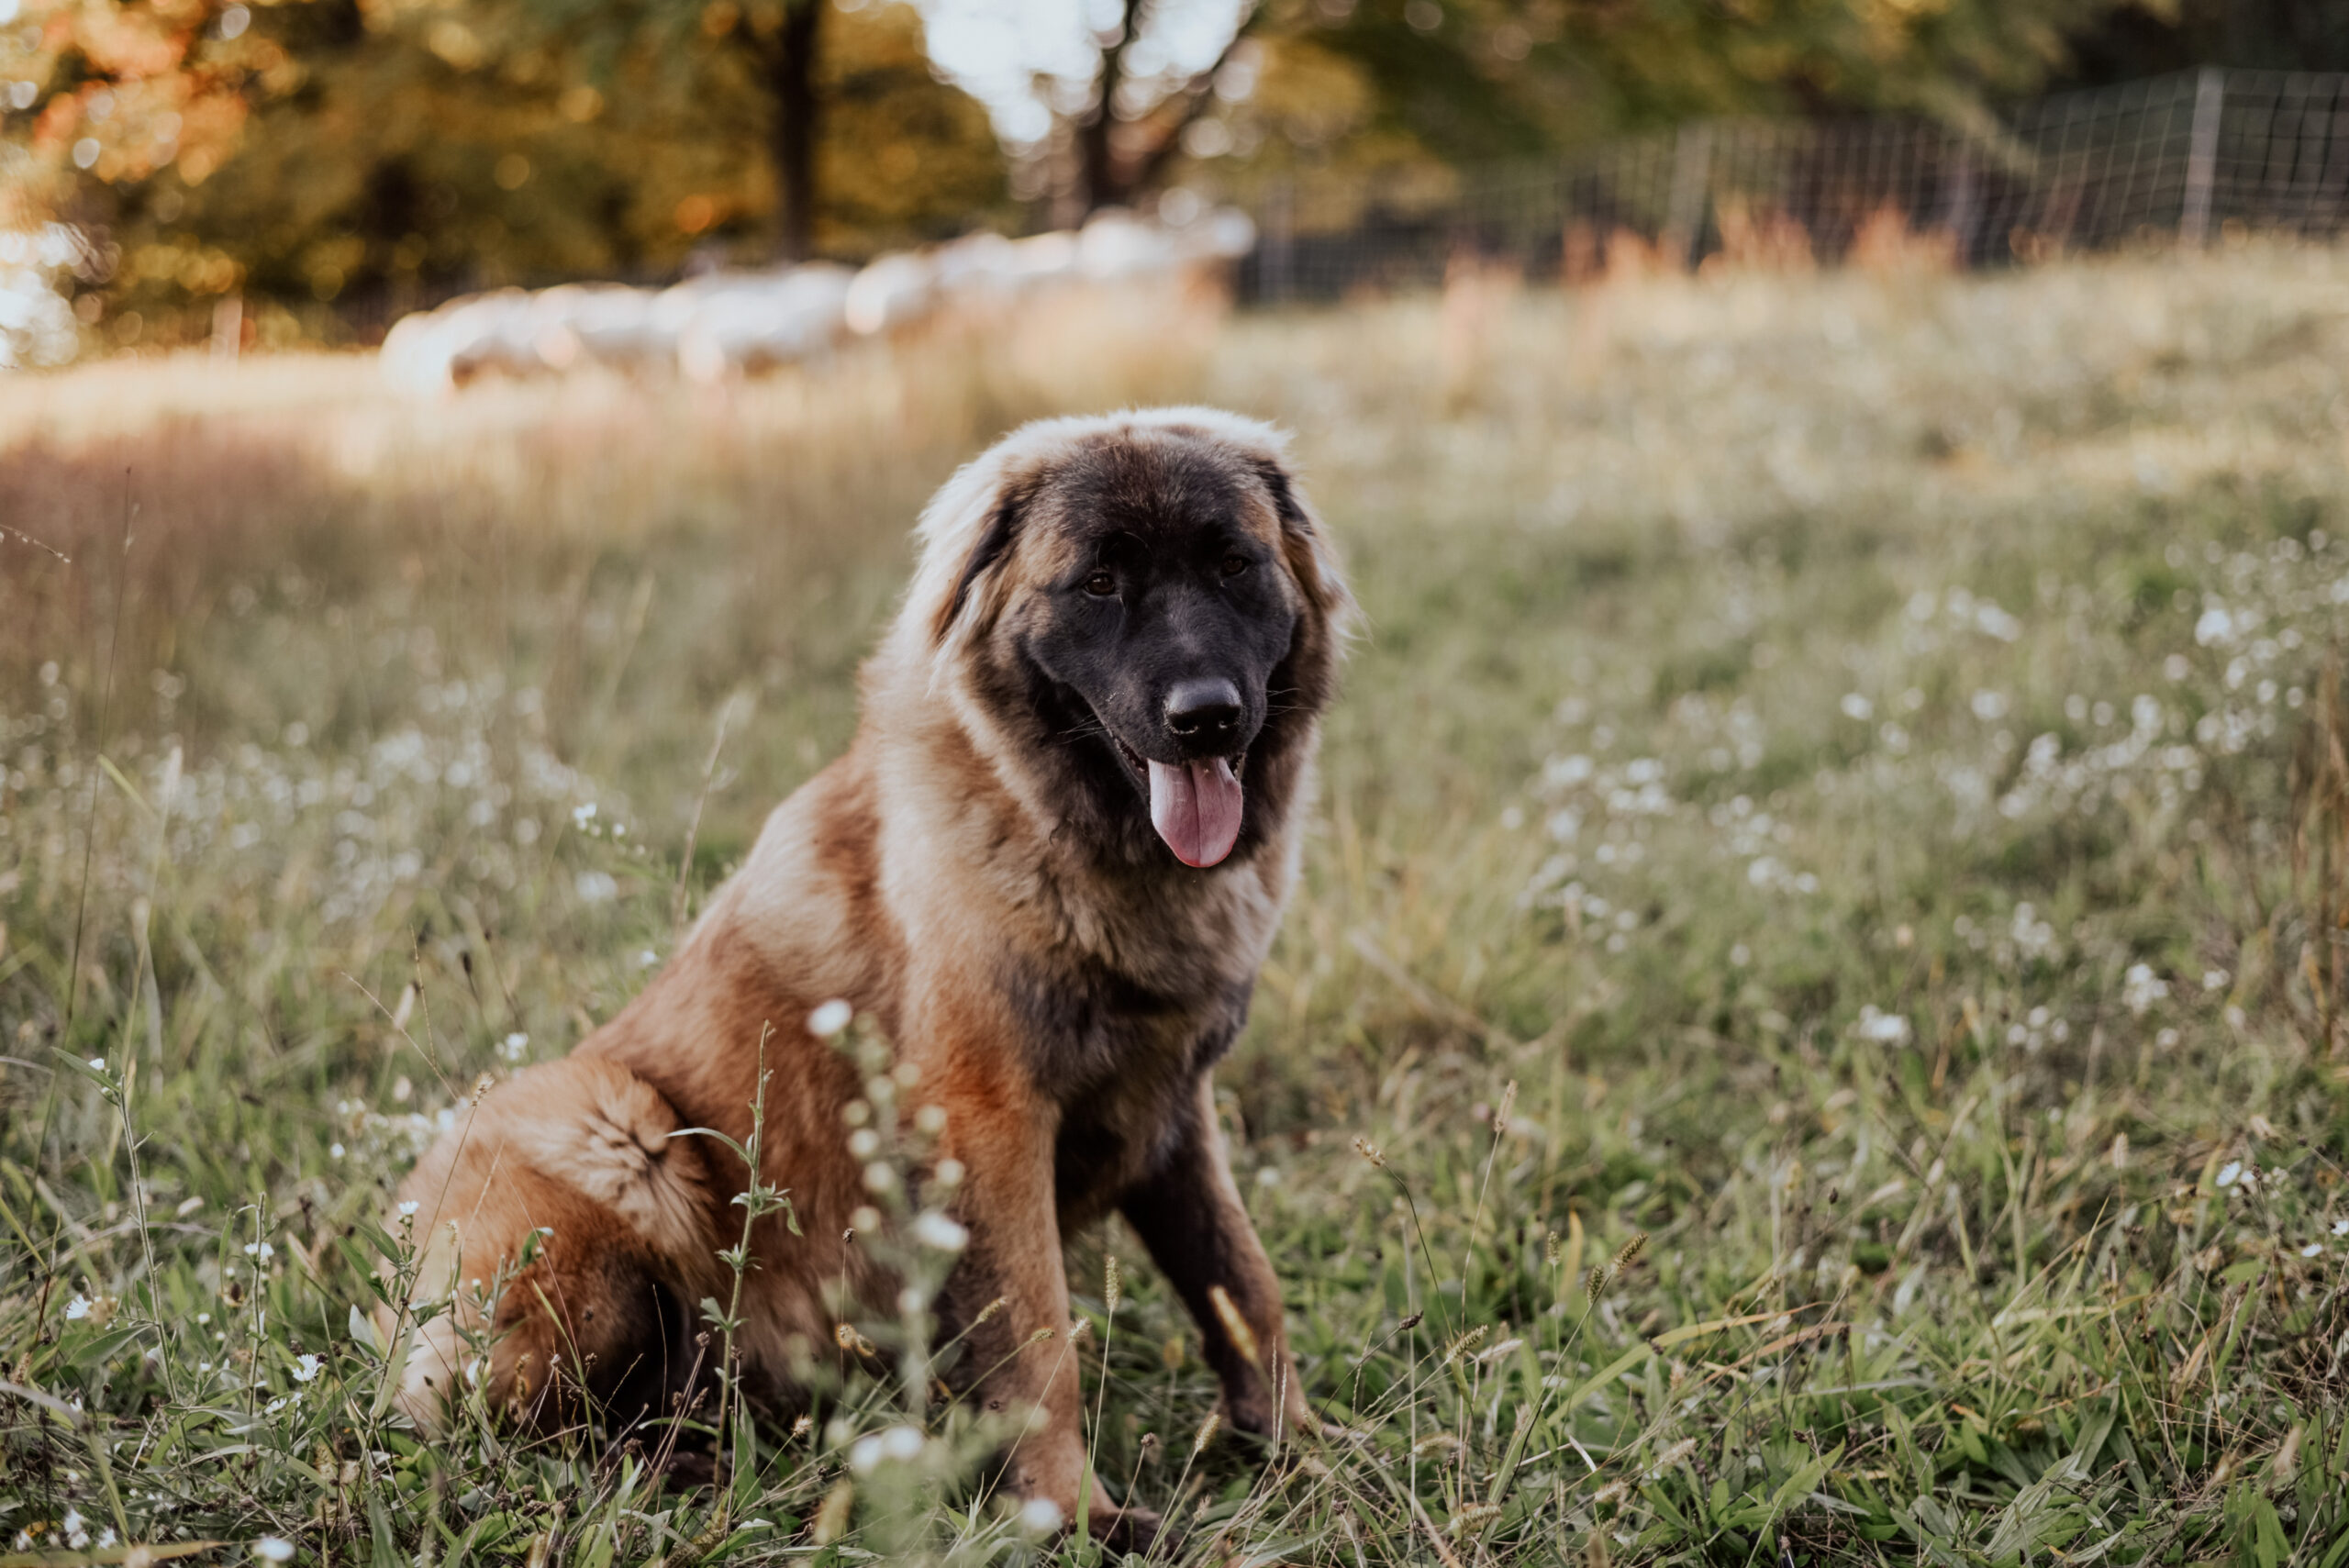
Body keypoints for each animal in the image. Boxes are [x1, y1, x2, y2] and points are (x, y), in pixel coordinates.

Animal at [378, 404, 1353, 1540]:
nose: (1207, 715)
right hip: (613, 1128)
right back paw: (682, 1468)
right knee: (523, 1432)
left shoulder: (1173, 1109)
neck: (1074, 838)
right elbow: (1041, 1345)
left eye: (1234, 563)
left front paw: (1295, 1446)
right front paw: (1076, 1518)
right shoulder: (988, 1125)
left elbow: (1243, 1284)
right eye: (1100, 583)